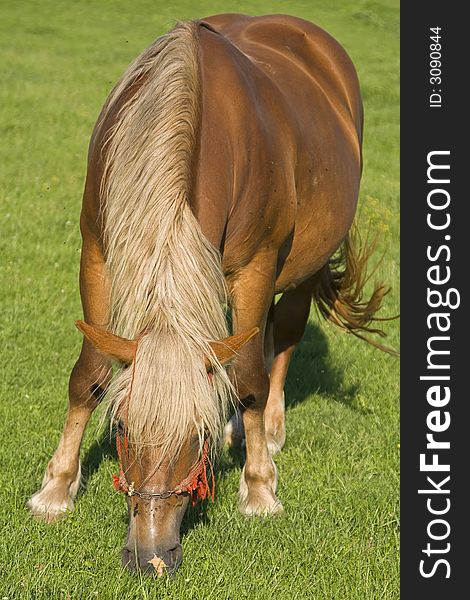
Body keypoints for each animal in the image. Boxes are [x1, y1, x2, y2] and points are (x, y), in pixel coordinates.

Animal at [26, 14, 392, 576]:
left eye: (196, 435)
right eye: (122, 427)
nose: (151, 556)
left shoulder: (255, 267)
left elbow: (249, 379)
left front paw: (259, 490)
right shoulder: (96, 252)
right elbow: (89, 375)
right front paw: (56, 489)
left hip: (301, 268)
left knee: (281, 338)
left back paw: (270, 432)